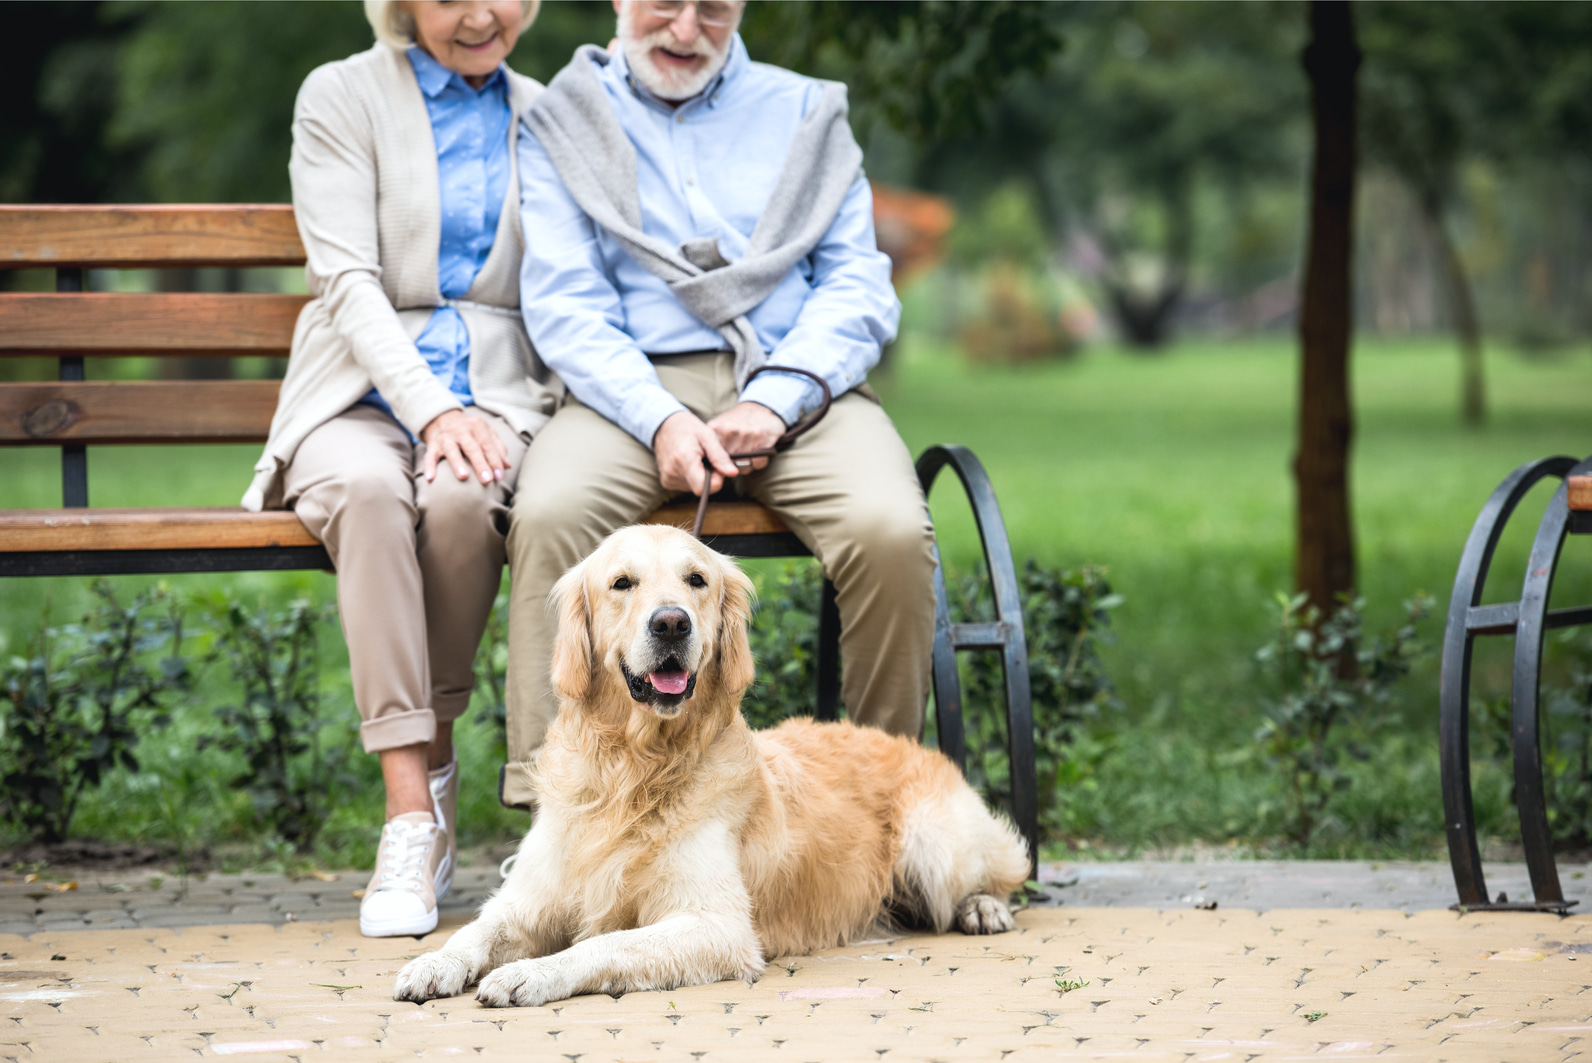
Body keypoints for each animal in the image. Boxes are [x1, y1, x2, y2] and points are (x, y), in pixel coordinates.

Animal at [391, 528, 1025, 1012]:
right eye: (622, 583)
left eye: (696, 580)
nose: (671, 623)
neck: (634, 768)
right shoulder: (529, 899)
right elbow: (477, 929)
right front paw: (434, 961)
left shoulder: (717, 926)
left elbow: (607, 944)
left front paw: (531, 973)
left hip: (933, 843)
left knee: (1001, 871)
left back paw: (983, 907)